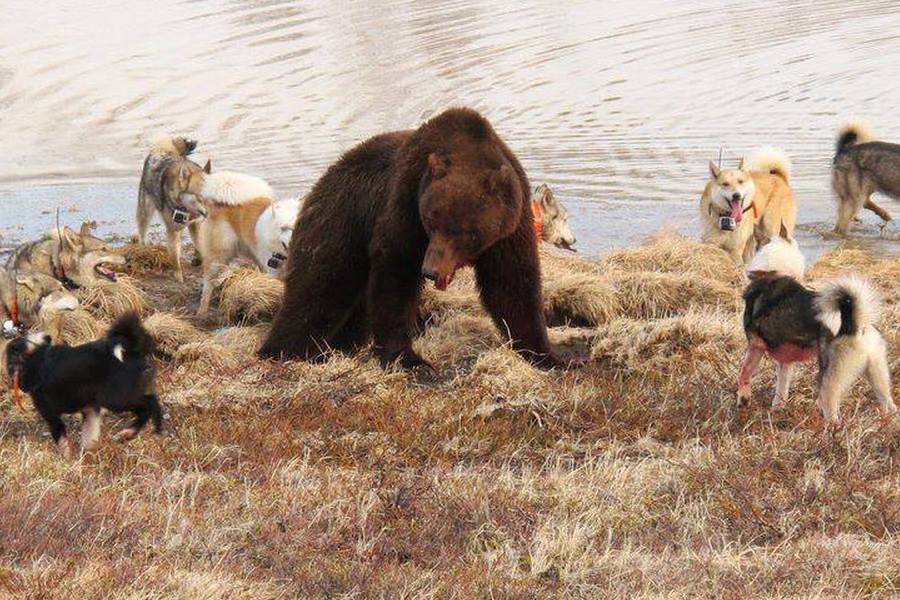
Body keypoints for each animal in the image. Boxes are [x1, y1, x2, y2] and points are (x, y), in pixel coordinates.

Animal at [4, 312, 163, 458]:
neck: (36, 358)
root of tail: (132, 350)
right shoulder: (90, 410)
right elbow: (89, 438)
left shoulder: (51, 416)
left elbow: (62, 442)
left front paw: (67, 460)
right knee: (153, 402)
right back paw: (152, 429)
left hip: (115, 399)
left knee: (149, 404)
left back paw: (129, 433)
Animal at [137, 134, 211, 284]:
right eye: (199, 196)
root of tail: (162, 149)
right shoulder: (173, 231)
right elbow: (175, 260)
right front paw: (179, 278)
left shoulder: (196, 225)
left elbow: (201, 246)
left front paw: (200, 260)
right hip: (145, 213)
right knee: (142, 233)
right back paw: (143, 250)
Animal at [256, 108, 560, 370]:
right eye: (432, 221)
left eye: (465, 232)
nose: (430, 270)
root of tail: (319, 184)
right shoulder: (406, 201)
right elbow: (395, 274)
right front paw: (407, 358)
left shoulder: (510, 228)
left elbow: (512, 285)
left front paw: (546, 355)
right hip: (339, 223)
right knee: (320, 288)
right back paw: (282, 350)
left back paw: (342, 346)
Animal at [740, 225, 892, 426]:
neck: (775, 272)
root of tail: (854, 324)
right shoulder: (786, 362)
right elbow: (781, 390)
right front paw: (776, 410)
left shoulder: (755, 346)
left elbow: (744, 373)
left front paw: (743, 400)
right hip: (878, 377)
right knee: (890, 406)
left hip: (828, 383)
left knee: (833, 414)